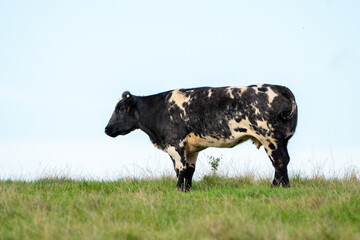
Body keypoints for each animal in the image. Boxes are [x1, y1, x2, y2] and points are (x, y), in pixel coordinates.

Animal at [105, 84, 298, 191]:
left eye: (120, 109)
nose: (107, 129)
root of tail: (277, 87)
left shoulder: (175, 144)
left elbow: (180, 169)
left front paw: (178, 190)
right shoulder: (191, 149)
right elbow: (189, 170)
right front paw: (187, 190)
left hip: (270, 138)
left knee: (279, 161)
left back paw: (278, 187)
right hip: (283, 140)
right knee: (285, 160)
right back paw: (284, 186)